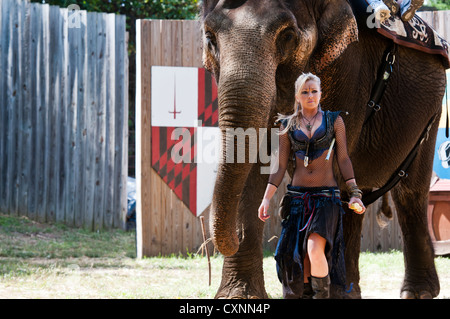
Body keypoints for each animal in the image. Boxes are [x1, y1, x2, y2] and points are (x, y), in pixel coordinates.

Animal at [200, 0, 446, 300]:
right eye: (210, 38)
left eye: (287, 35)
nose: (232, 238)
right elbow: (254, 162)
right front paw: (239, 297)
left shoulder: (348, 70)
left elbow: (336, 163)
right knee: (359, 191)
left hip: (431, 111)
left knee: (409, 191)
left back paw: (414, 292)